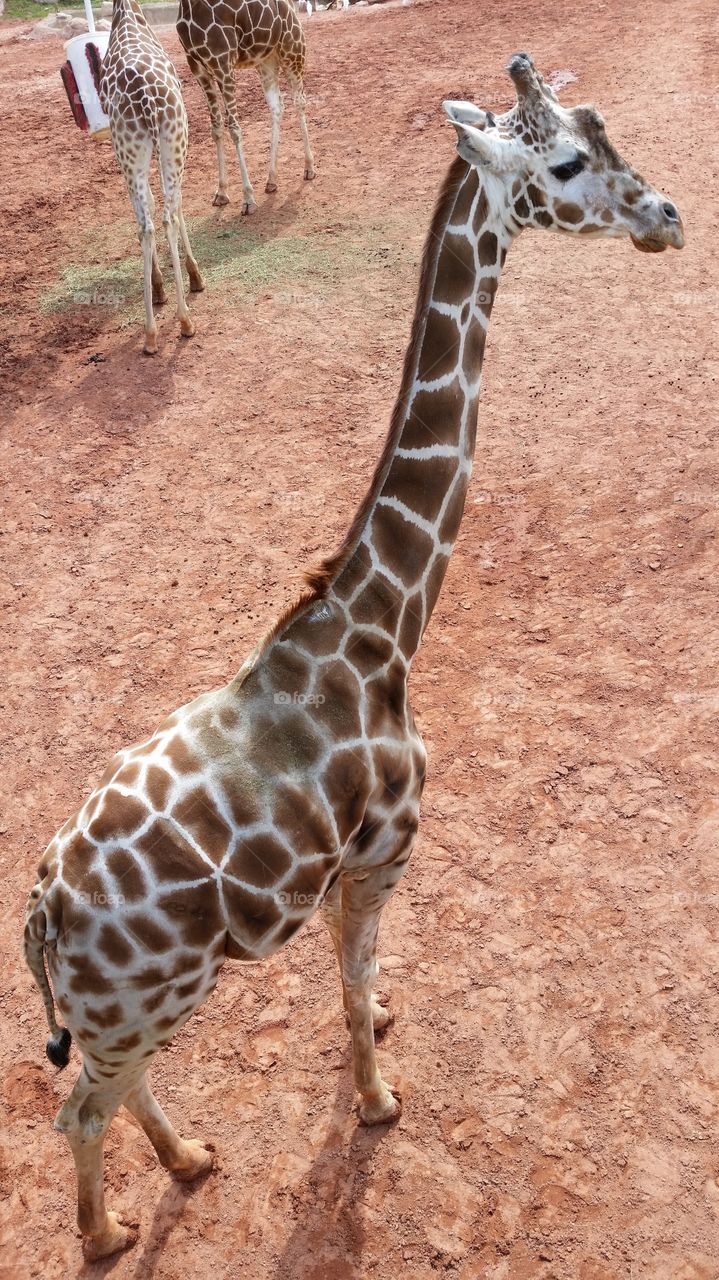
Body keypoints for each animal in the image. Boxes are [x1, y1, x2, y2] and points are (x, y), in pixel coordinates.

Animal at [24, 53, 683, 1261]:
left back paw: (191, 1159)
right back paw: (108, 1231)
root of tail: (43, 913)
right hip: (145, 1000)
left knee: (110, 1091)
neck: (383, 621)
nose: (665, 216)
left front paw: (377, 1028)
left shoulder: (342, 869)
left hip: (134, 1009)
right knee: (78, 1108)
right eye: (567, 161)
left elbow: (352, 981)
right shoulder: (384, 849)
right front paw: (378, 1100)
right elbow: (347, 985)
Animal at [99, 0, 205, 355]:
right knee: (168, 215)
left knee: (147, 224)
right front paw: (195, 278)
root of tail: (144, 95)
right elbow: (179, 205)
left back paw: (150, 334)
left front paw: (162, 289)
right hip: (174, 138)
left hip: (132, 150)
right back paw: (184, 321)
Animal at [176, 0, 315, 213]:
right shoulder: (198, 67)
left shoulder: (223, 64)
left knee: (299, 102)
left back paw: (309, 168)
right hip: (266, 59)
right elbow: (216, 129)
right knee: (277, 106)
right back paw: (271, 180)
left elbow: (234, 130)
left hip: (293, 50)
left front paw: (248, 199)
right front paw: (221, 192)